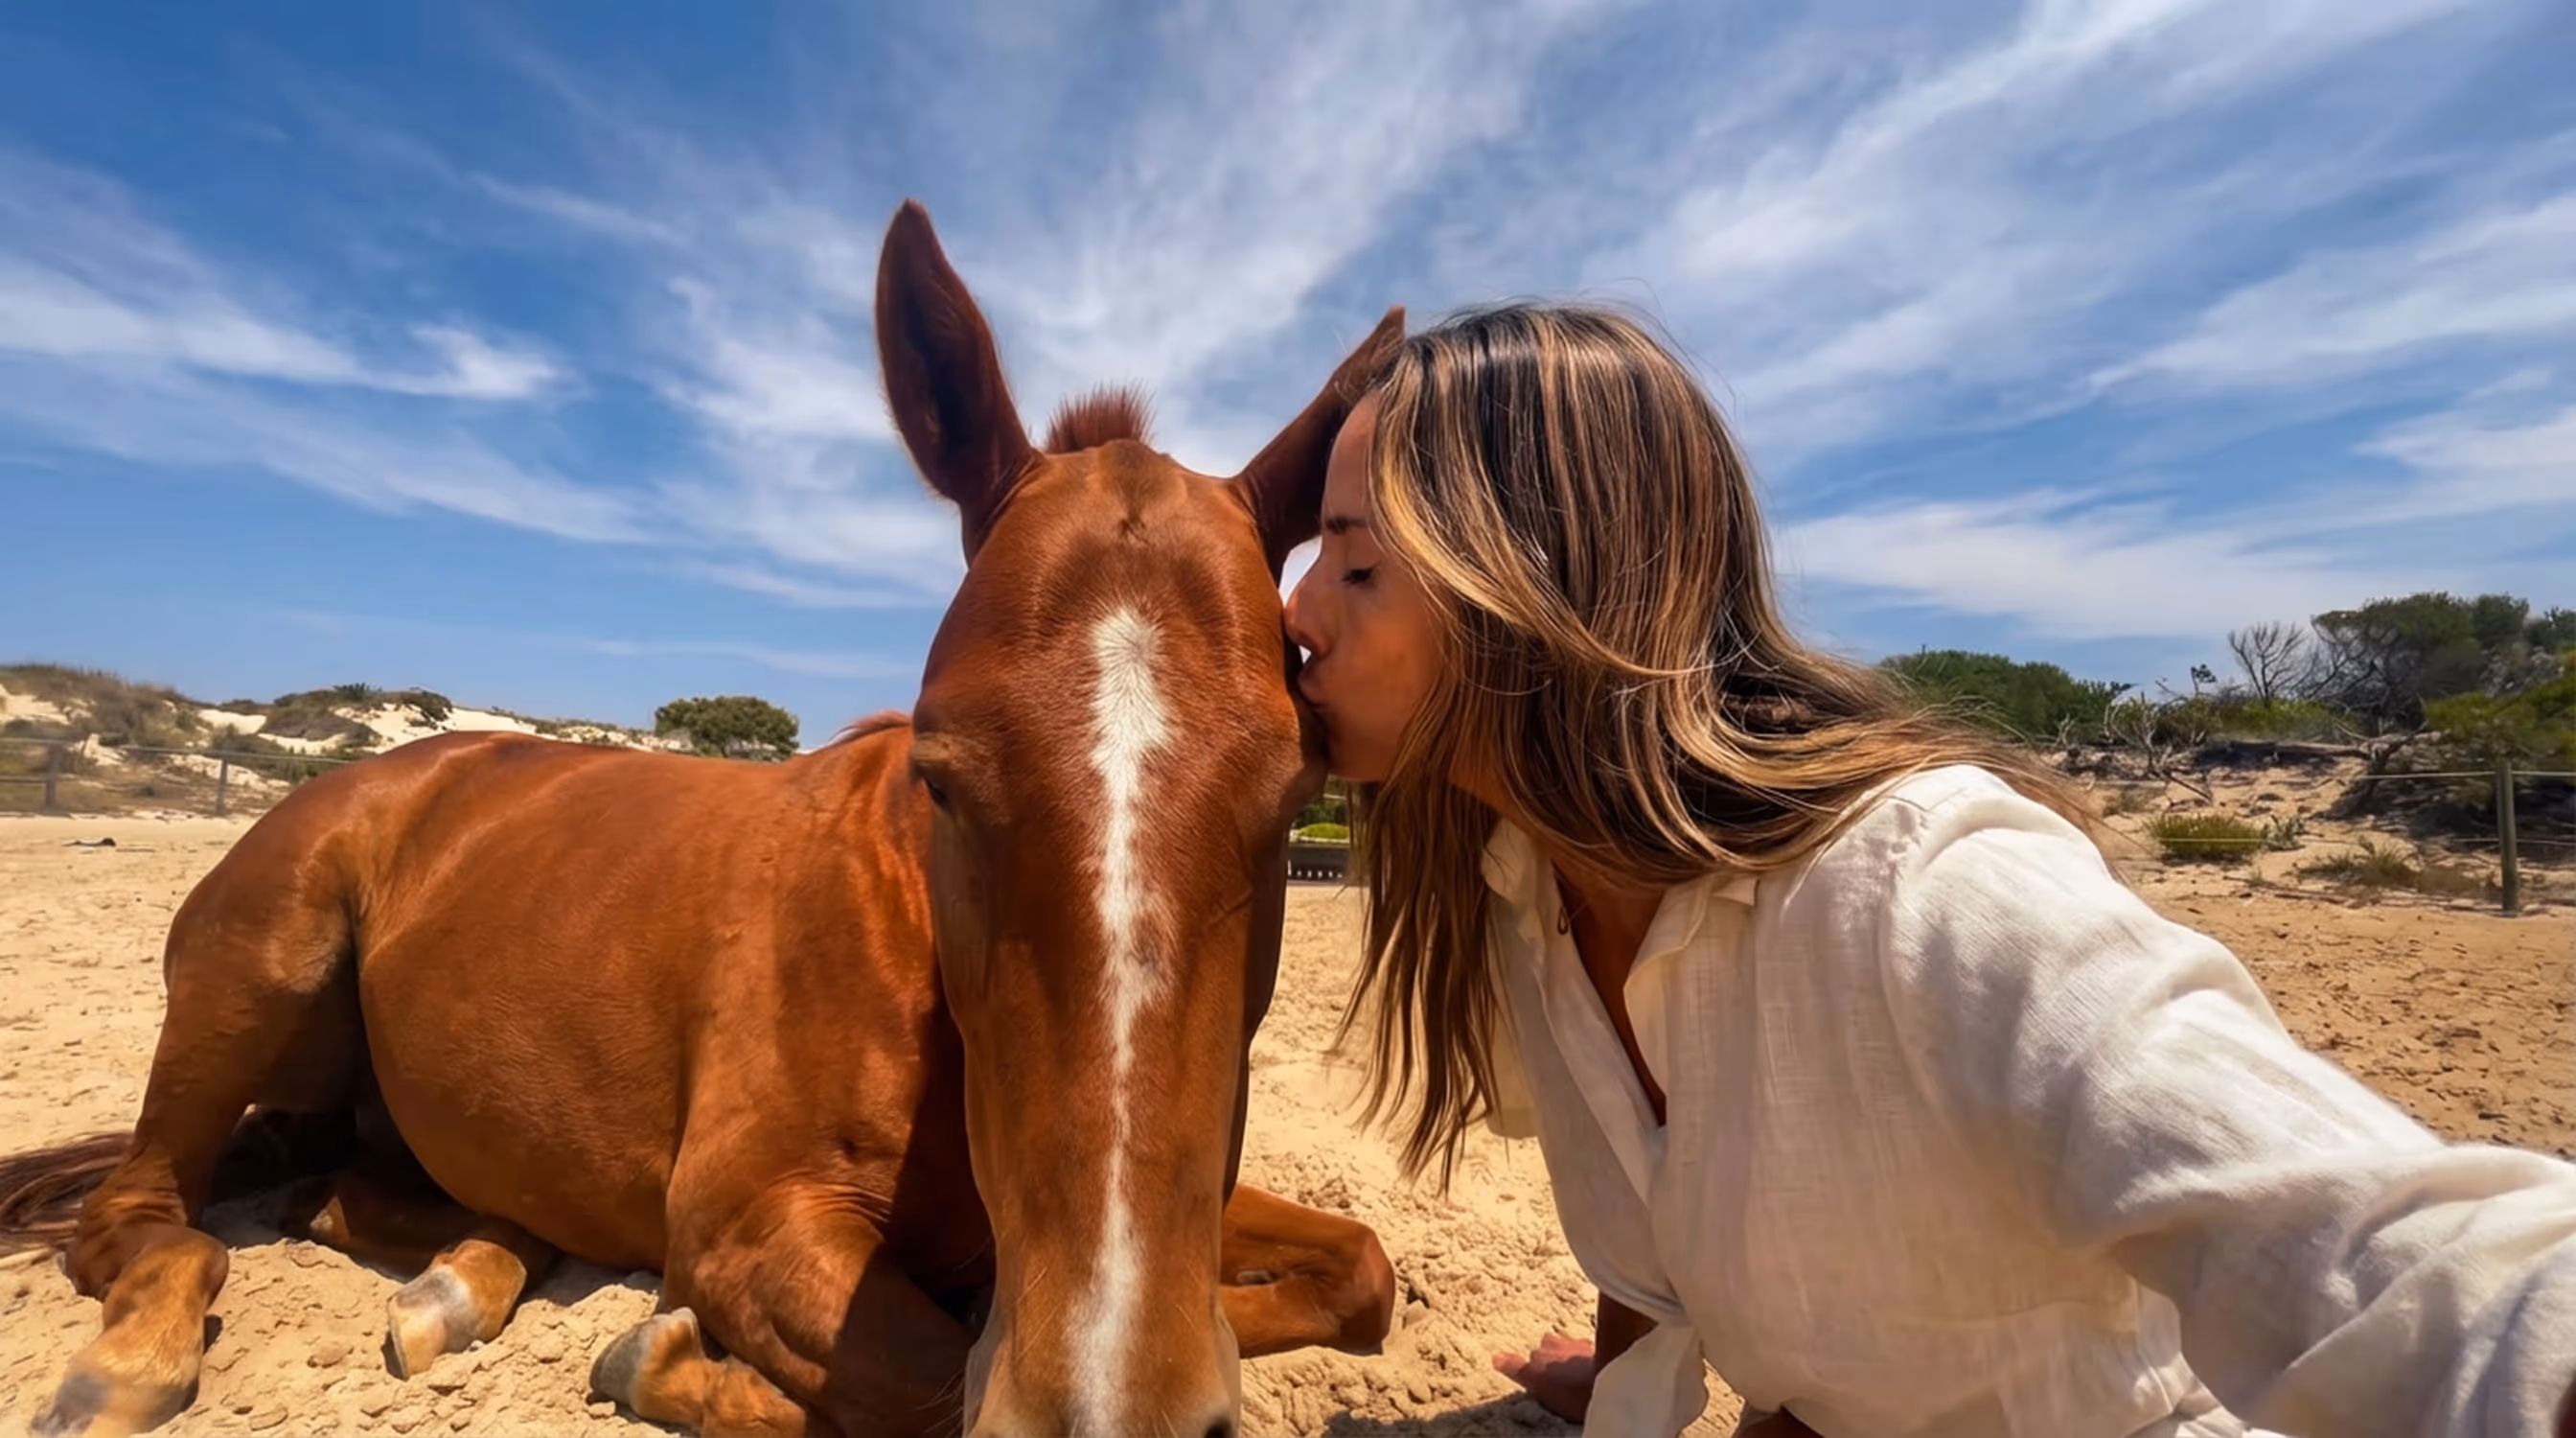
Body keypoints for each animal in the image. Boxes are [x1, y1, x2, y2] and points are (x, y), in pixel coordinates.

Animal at [0, 198, 1406, 1438]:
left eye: (1295, 795)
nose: (1113, 1400)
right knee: (146, 1217)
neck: (915, 960)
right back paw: (135, 1363)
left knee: (340, 1196)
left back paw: (467, 1275)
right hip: (255, 979)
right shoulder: (751, 1224)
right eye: (942, 774)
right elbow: (924, 1392)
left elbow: (1364, 1270)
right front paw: (665, 1361)